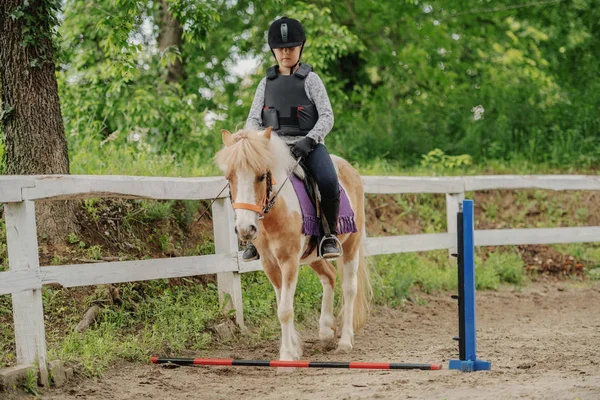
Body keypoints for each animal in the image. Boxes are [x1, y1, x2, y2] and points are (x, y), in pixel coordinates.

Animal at [216, 127, 370, 360]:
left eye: (261, 176)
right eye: (229, 177)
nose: (245, 229)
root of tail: (350, 169)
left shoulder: (289, 261)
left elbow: (285, 310)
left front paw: (288, 355)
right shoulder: (270, 264)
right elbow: (282, 305)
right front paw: (292, 349)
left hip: (351, 246)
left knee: (349, 289)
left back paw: (344, 341)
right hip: (314, 255)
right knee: (329, 276)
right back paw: (325, 332)